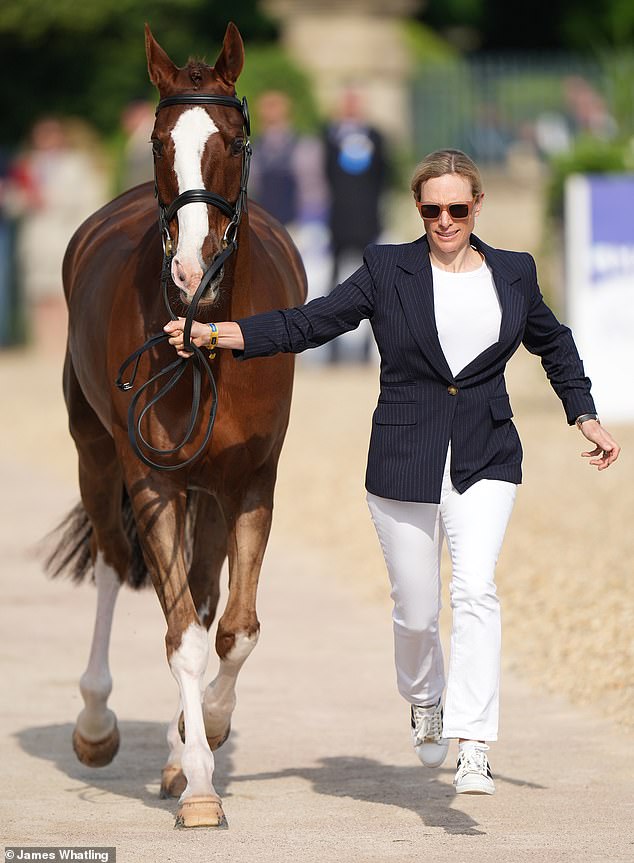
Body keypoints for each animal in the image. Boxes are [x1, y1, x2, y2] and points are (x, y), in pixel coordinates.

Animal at [48, 23, 304, 828]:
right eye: (159, 141)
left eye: (235, 139)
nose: (192, 270)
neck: (208, 337)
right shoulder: (155, 481)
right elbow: (185, 636)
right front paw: (198, 786)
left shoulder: (250, 481)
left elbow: (234, 628)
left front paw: (206, 734)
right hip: (96, 456)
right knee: (111, 560)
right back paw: (97, 723)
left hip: (209, 490)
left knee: (203, 592)